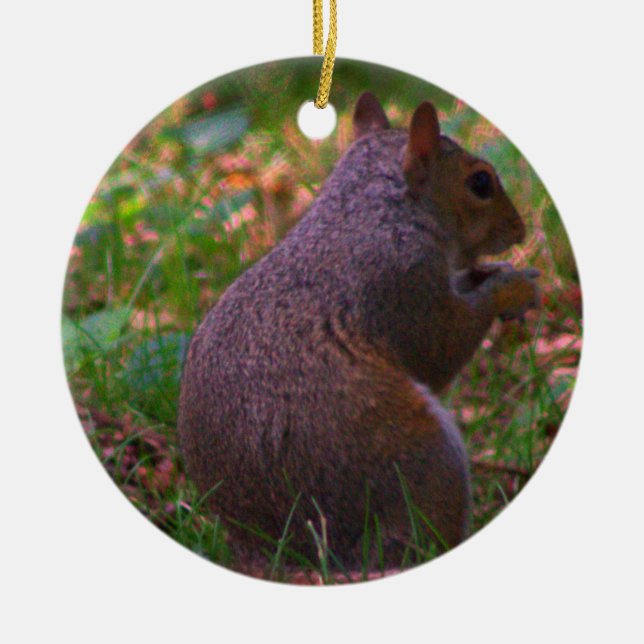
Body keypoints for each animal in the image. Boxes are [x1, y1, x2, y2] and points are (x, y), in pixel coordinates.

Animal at [178, 93, 540, 570]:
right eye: (480, 183)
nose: (520, 230)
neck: (375, 213)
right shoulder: (400, 285)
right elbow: (440, 347)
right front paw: (510, 288)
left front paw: (503, 274)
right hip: (414, 460)